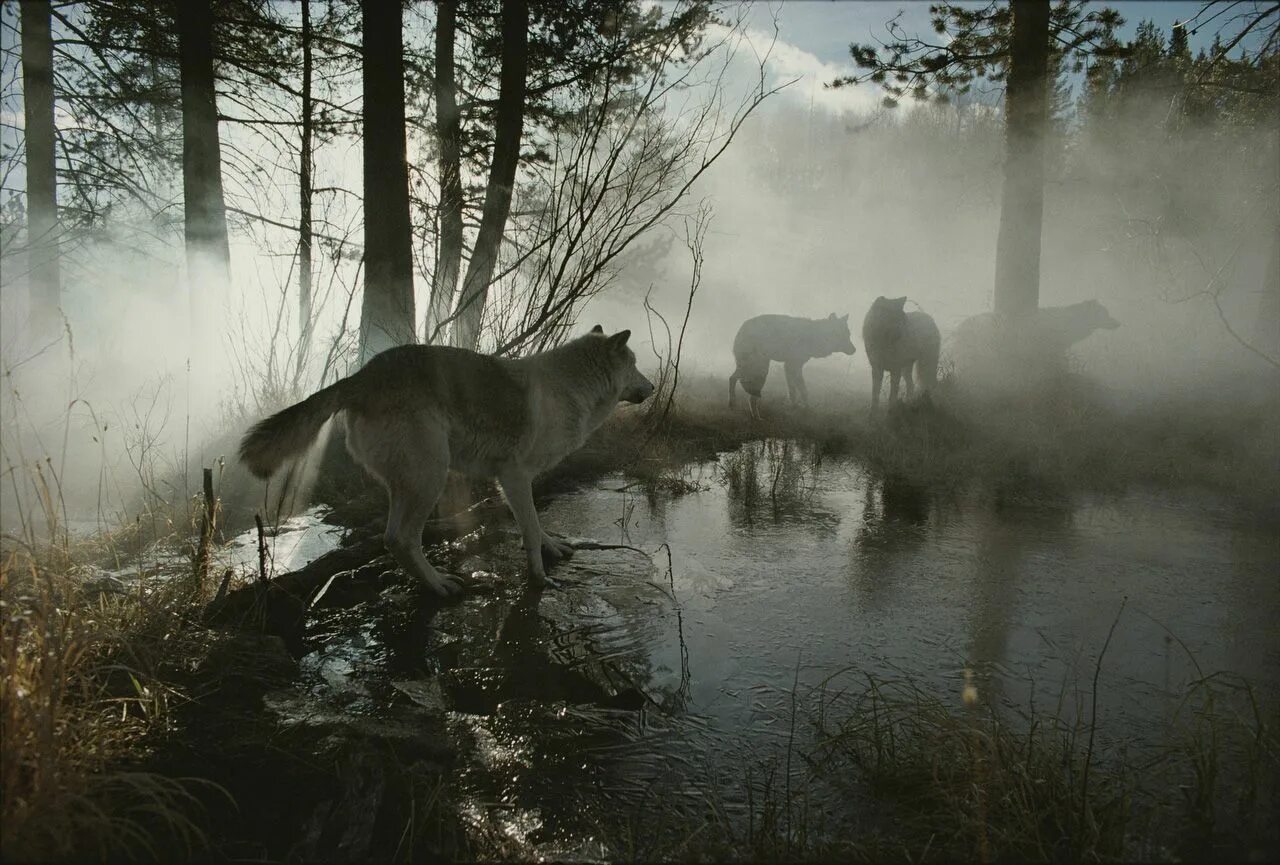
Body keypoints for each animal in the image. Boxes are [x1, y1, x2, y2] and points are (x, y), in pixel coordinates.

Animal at [240, 325, 655, 593]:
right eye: (635, 364)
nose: (652, 387)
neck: (572, 387)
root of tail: (362, 376)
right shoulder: (515, 476)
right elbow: (531, 529)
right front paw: (540, 579)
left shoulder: (510, 481)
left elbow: (536, 527)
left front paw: (553, 548)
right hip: (430, 478)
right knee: (404, 538)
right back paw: (440, 585)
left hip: (409, 484)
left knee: (390, 538)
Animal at [727, 312, 855, 419]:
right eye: (843, 335)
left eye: (849, 334)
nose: (855, 350)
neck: (814, 337)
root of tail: (742, 328)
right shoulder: (792, 365)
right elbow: (801, 391)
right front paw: (803, 409)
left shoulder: (791, 367)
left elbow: (796, 391)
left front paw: (797, 408)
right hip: (760, 371)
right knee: (747, 392)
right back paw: (754, 416)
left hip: (754, 370)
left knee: (734, 380)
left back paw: (736, 407)